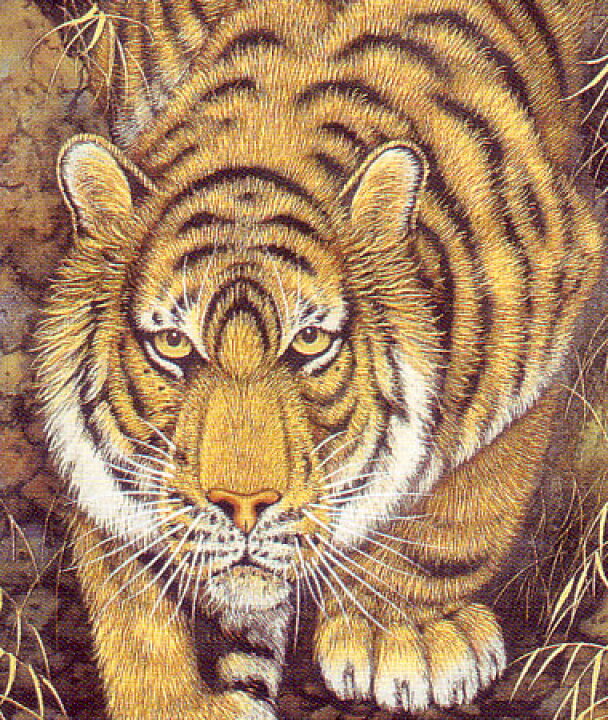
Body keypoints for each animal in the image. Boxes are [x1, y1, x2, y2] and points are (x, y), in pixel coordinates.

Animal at [35, 0, 604, 718]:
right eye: (173, 345)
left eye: (309, 342)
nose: (243, 505)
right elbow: (135, 595)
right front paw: (181, 698)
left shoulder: (555, 297)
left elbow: (469, 499)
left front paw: (405, 633)